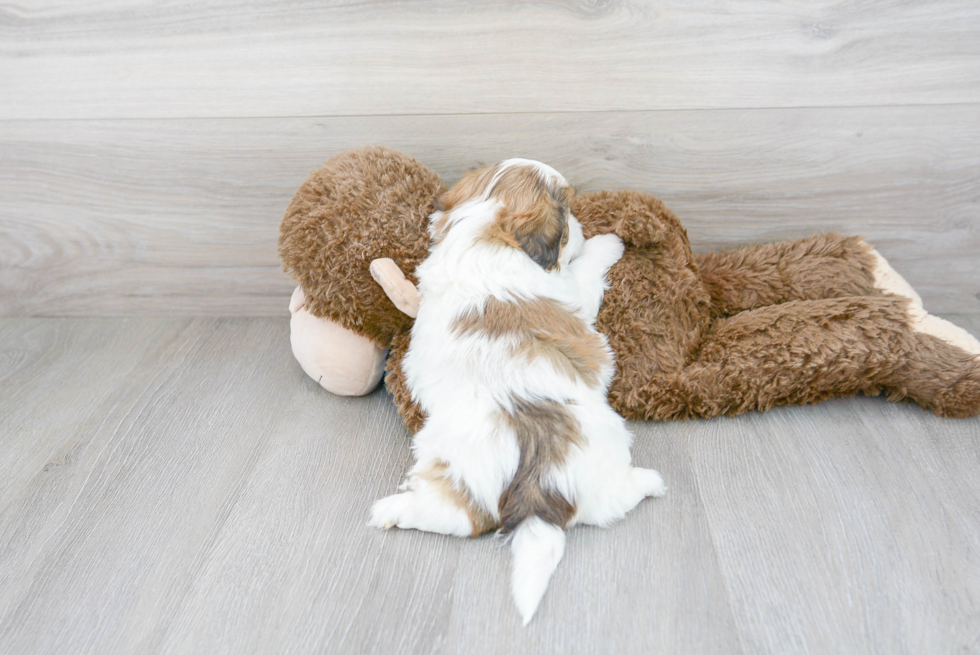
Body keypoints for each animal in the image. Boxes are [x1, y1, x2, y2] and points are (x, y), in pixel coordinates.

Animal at [368, 158, 668, 624]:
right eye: (567, 219)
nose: (582, 226)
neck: (484, 227)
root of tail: (537, 490)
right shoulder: (573, 293)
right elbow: (585, 272)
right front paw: (608, 242)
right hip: (607, 448)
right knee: (611, 501)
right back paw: (649, 482)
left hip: (451, 458)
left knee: (464, 517)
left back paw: (392, 512)